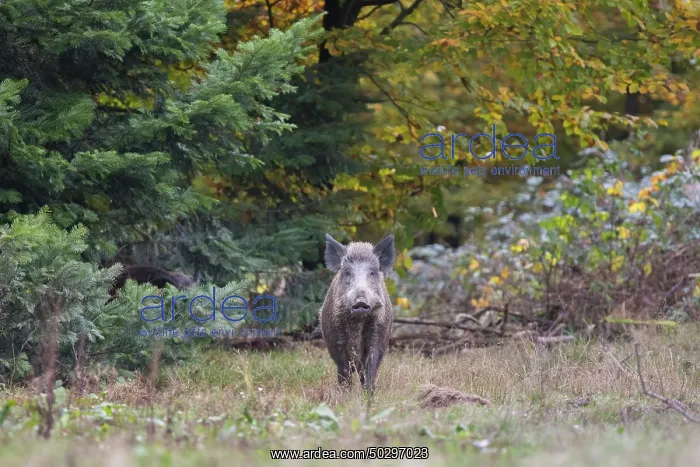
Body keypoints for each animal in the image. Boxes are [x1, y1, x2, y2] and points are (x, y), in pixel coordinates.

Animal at [319, 233, 396, 395]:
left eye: (372, 272)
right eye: (348, 272)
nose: (360, 301)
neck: (357, 321)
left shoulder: (378, 335)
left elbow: (370, 368)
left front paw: (369, 396)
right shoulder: (336, 341)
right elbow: (344, 370)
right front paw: (345, 396)